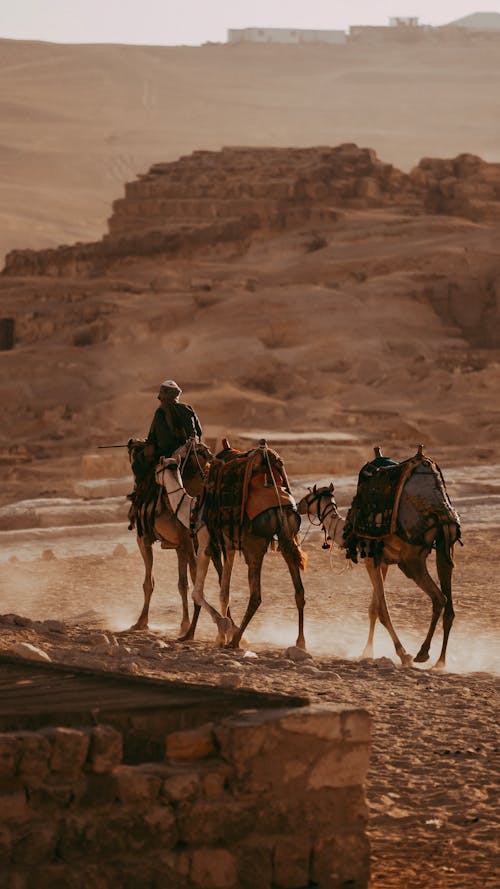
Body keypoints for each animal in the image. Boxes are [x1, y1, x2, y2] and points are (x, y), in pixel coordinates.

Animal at [127, 438, 217, 636]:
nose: (132, 443)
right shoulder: (180, 545)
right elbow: (182, 584)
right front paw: (184, 624)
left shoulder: (144, 539)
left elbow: (149, 583)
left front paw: (141, 622)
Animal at [178, 440, 306, 648]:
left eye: (184, 454)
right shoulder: (227, 546)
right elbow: (223, 591)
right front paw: (222, 631)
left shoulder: (207, 544)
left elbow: (202, 591)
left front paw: (220, 629)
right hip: (287, 538)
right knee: (299, 591)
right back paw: (300, 642)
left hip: (254, 547)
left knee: (256, 596)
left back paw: (235, 640)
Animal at [296, 448, 460, 668]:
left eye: (308, 496)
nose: (297, 505)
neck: (346, 529)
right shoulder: (381, 560)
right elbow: (373, 608)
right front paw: (367, 651)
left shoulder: (370, 558)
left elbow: (382, 610)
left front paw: (403, 654)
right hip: (446, 543)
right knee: (449, 605)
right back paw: (440, 661)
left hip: (411, 560)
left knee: (439, 598)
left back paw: (422, 653)